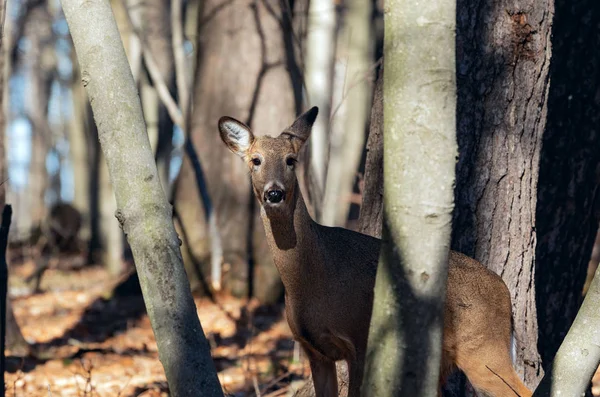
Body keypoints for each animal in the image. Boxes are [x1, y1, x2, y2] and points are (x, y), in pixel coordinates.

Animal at [218, 106, 532, 396]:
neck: (310, 278)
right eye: (255, 160)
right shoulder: (315, 351)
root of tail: (503, 290)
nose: (274, 193)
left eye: (290, 160)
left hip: (483, 347)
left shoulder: (360, 339)